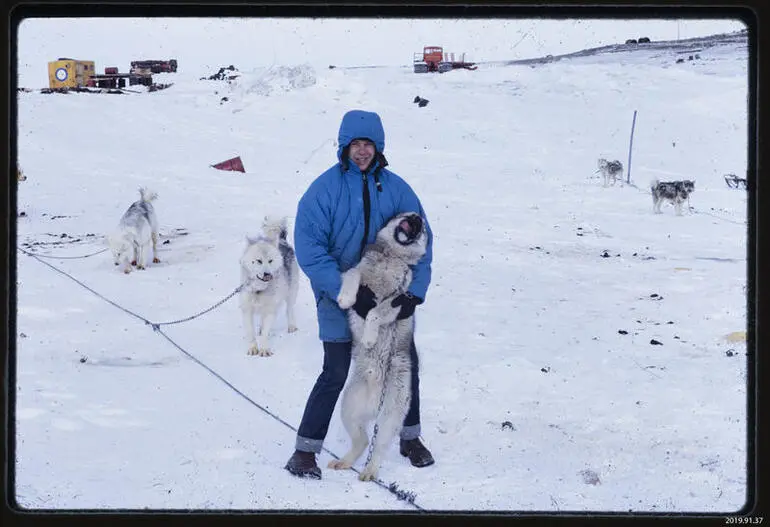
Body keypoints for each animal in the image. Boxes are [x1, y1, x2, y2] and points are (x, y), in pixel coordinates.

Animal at [237, 216, 296, 358]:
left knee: (289, 309)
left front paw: (264, 349)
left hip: (291, 292)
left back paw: (291, 325)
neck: (259, 289)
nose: (267, 274)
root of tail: (282, 240)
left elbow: (264, 333)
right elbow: (251, 333)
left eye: (270, 261)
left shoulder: (270, 310)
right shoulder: (247, 310)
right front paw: (253, 348)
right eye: (259, 261)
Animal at [328, 211, 426, 482]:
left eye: (422, 227)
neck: (391, 256)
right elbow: (352, 275)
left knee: (379, 448)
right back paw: (343, 462)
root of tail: (375, 403)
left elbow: (373, 312)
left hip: (390, 419)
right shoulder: (356, 274)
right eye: (405, 215)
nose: (416, 216)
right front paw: (346, 298)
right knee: (362, 441)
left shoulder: (398, 301)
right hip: (348, 409)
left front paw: (370, 338)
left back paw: (369, 472)